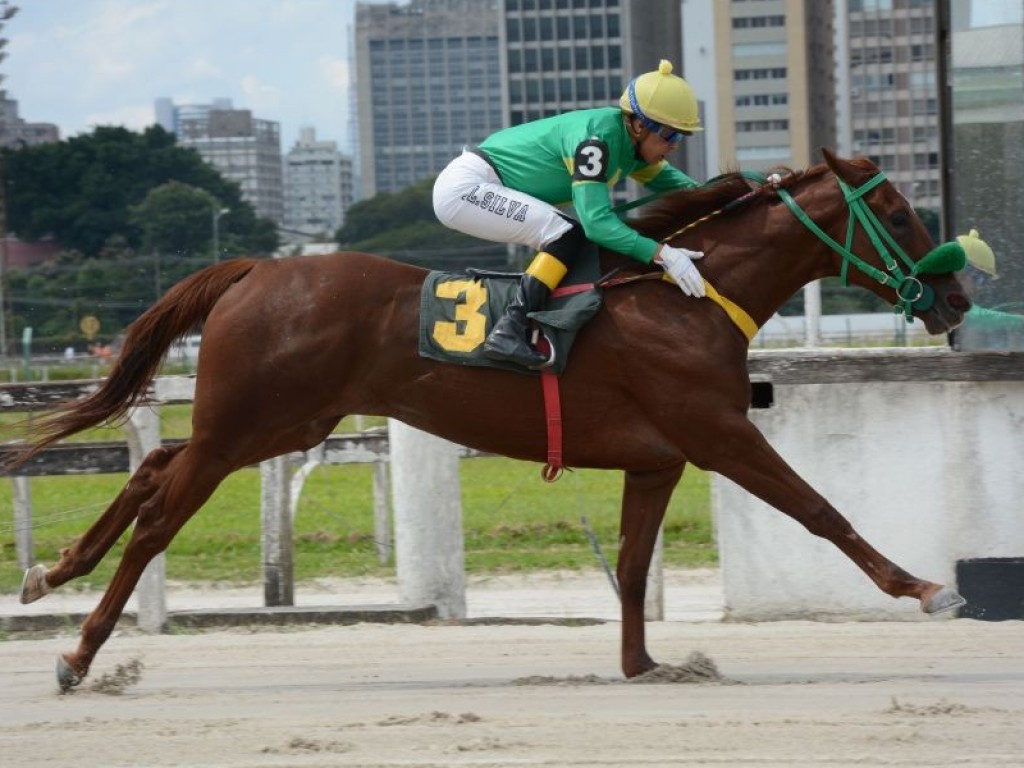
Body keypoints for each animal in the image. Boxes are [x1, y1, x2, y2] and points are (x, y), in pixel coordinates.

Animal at [12, 150, 970, 692]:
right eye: (895, 212)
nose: (955, 297)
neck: (687, 299)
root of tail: (256, 267)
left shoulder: (658, 459)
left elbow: (631, 567)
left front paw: (642, 665)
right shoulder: (719, 435)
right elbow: (822, 512)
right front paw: (928, 588)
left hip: (282, 424)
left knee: (153, 465)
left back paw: (52, 572)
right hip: (249, 426)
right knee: (160, 516)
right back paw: (78, 655)